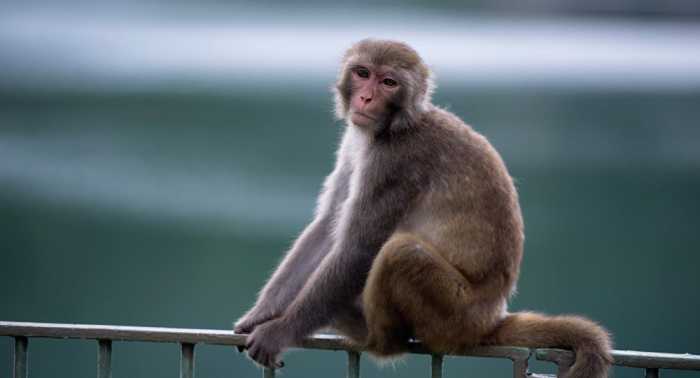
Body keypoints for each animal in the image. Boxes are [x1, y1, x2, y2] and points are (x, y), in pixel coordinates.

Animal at [232, 39, 608, 378]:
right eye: (362, 73)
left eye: (389, 83)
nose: (366, 98)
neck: (394, 125)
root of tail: (491, 319)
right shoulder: (356, 145)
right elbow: (327, 228)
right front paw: (260, 314)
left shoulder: (394, 161)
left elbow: (357, 248)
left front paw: (279, 332)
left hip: (455, 314)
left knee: (402, 252)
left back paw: (372, 336)